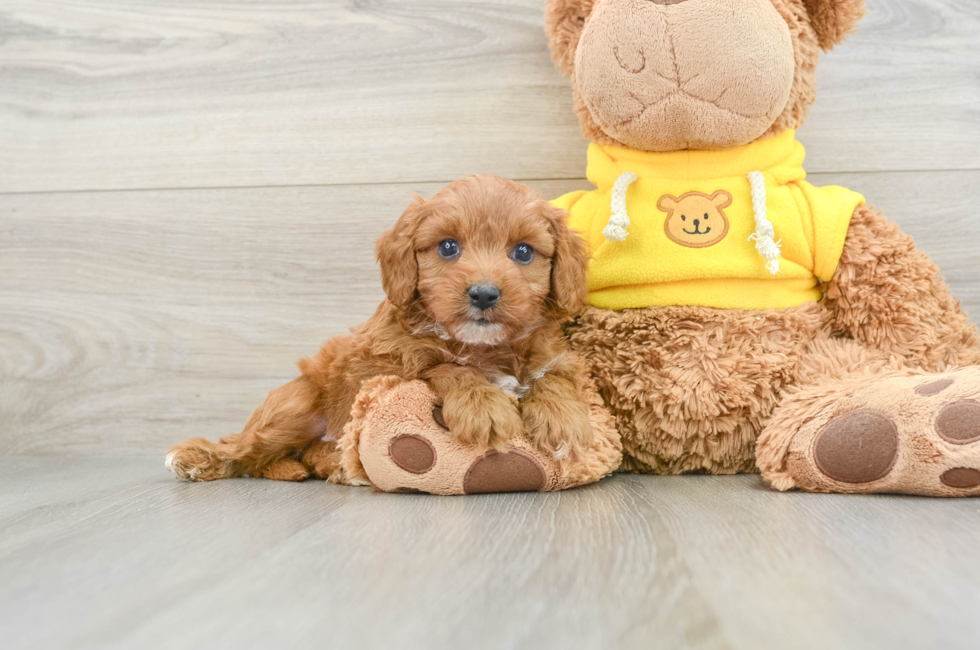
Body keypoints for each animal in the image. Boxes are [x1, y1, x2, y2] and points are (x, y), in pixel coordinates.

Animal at [167, 173, 592, 480]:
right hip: (297, 404)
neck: (482, 344)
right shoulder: (390, 365)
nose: (484, 294)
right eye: (448, 247)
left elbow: (552, 375)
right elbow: (447, 365)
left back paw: (331, 466)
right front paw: (483, 405)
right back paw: (198, 458)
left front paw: (563, 418)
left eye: (523, 252)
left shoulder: (552, 354)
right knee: (246, 448)